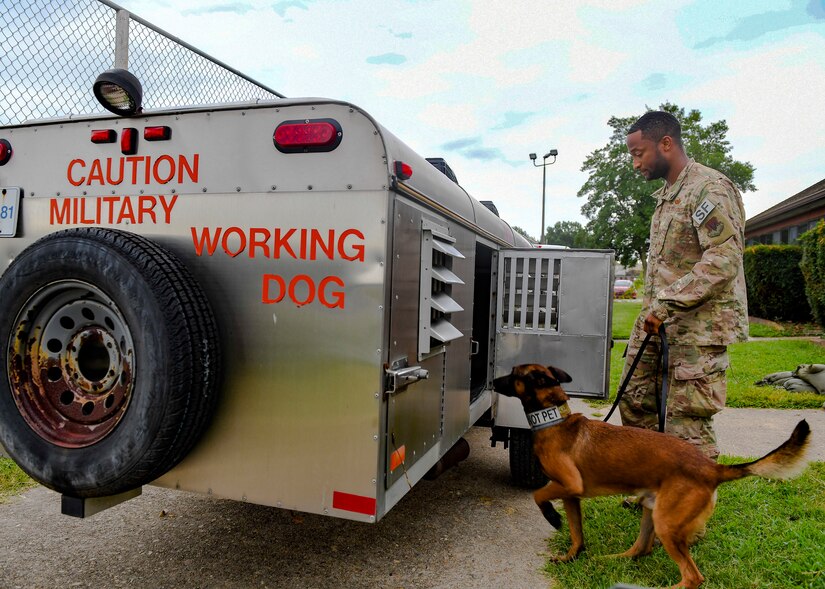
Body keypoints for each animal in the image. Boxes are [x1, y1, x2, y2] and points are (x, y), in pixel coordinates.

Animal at [492, 362, 808, 588]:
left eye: (514, 373)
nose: (492, 381)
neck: (554, 420)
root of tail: (711, 468)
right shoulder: (571, 494)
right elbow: (577, 533)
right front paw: (572, 556)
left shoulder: (568, 484)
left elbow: (539, 495)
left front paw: (551, 517)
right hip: (652, 510)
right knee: (640, 550)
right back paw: (609, 560)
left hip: (666, 523)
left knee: (693, 577)